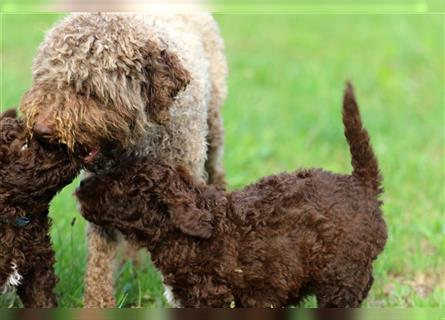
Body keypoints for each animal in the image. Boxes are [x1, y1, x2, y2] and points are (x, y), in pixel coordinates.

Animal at [19, 13, 227, 308]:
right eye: (46, 79)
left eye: (88, 88)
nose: (42, 130)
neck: (138, 143)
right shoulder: (99, 195)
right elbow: (100, 261)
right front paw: (97, 305)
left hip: (215, 128)